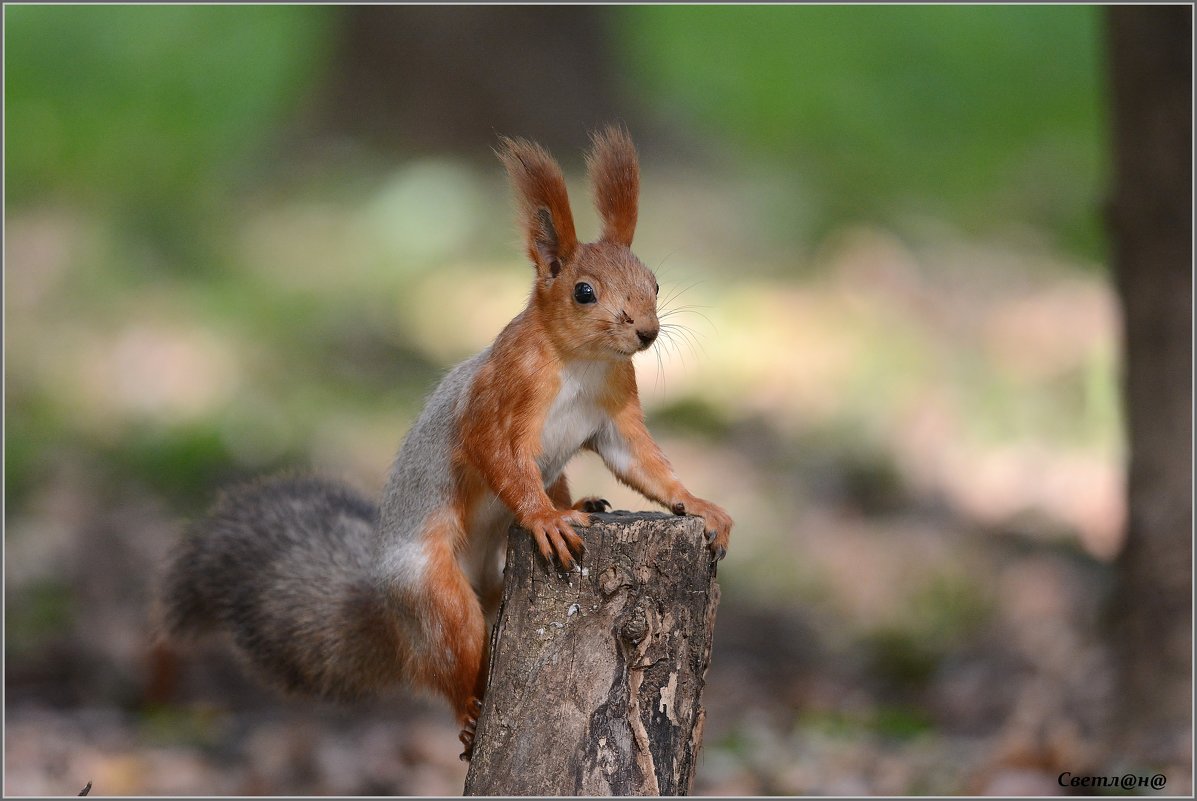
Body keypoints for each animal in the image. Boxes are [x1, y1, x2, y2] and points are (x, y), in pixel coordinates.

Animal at [162, 125, 732, 756]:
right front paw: (543, 518)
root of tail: (388, 606)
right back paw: (469, 708)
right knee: (452, 658)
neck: (582, 361)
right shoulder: (501, 391)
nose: (648, 332)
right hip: (436, 597)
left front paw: (699, 505)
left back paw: (578, 502)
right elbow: (492, 451)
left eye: (654, 282)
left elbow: (642, 463)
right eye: (584, 292)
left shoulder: (616, 409)